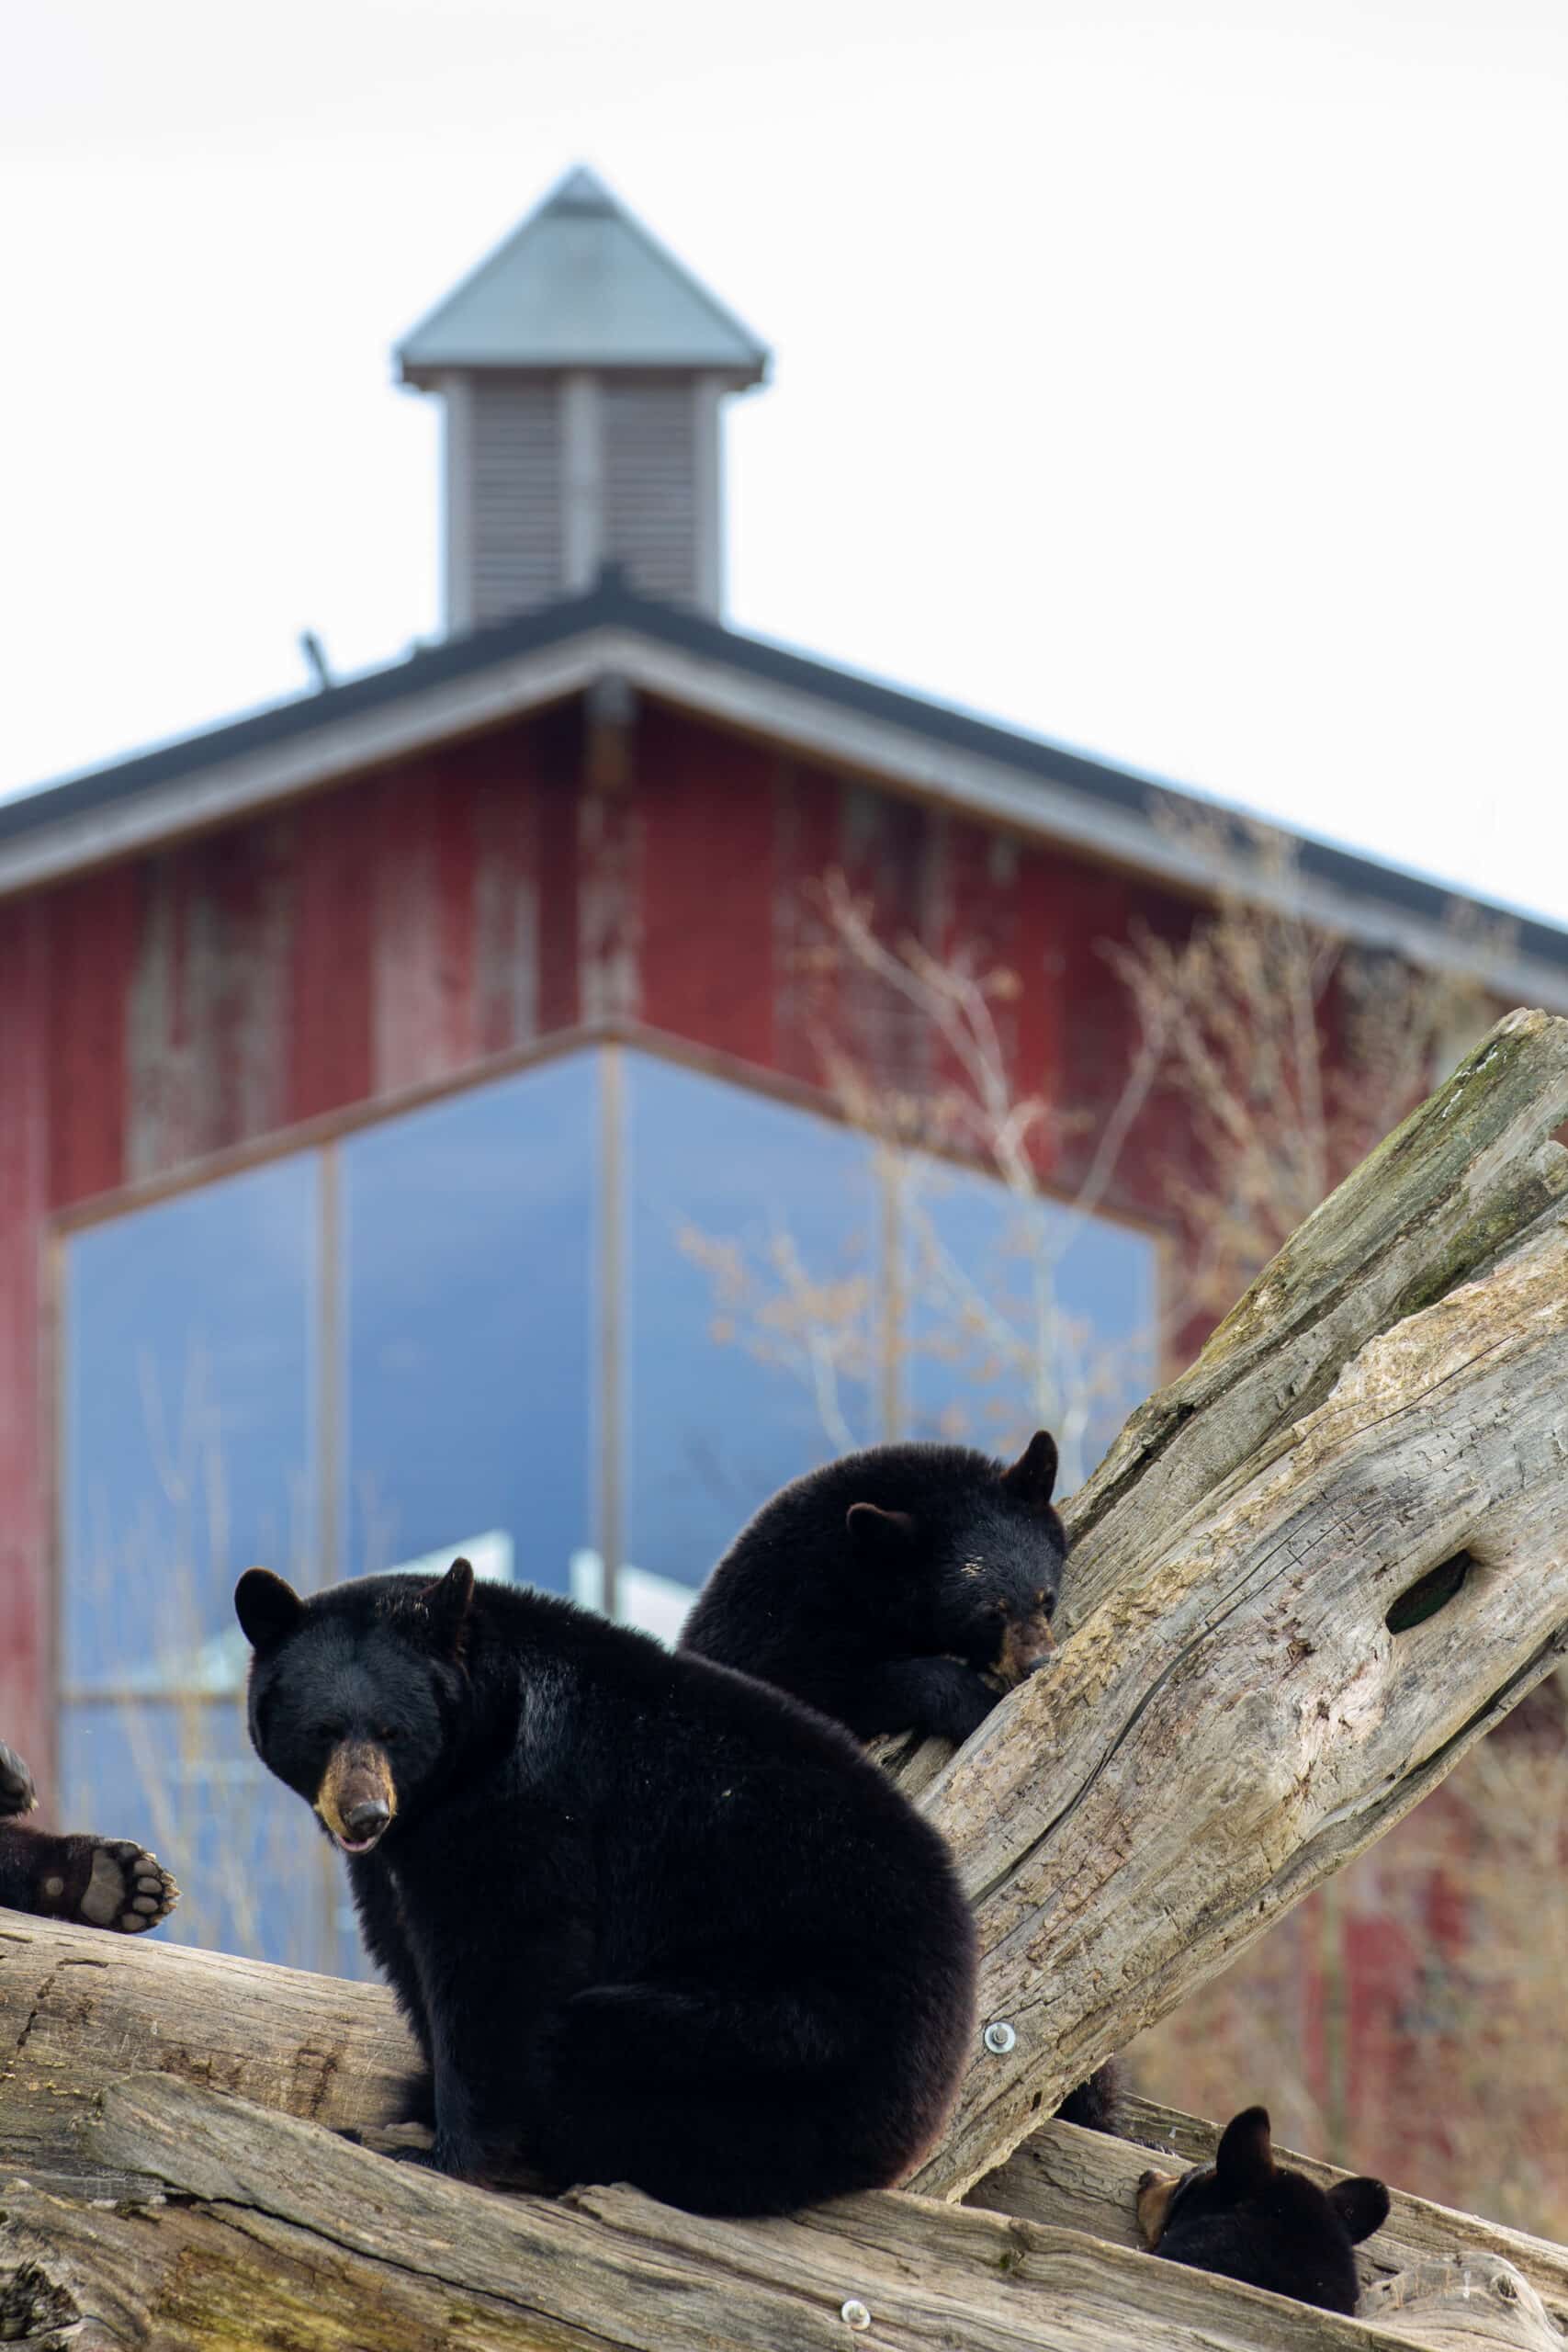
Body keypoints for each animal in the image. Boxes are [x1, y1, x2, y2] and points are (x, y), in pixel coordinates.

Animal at [677, 1430, 1066, 1749]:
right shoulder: (778, 1628)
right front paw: (975, 1704)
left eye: (1046, 1598)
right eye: (990, 1614)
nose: (1038, 1662)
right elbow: (822, 1685)